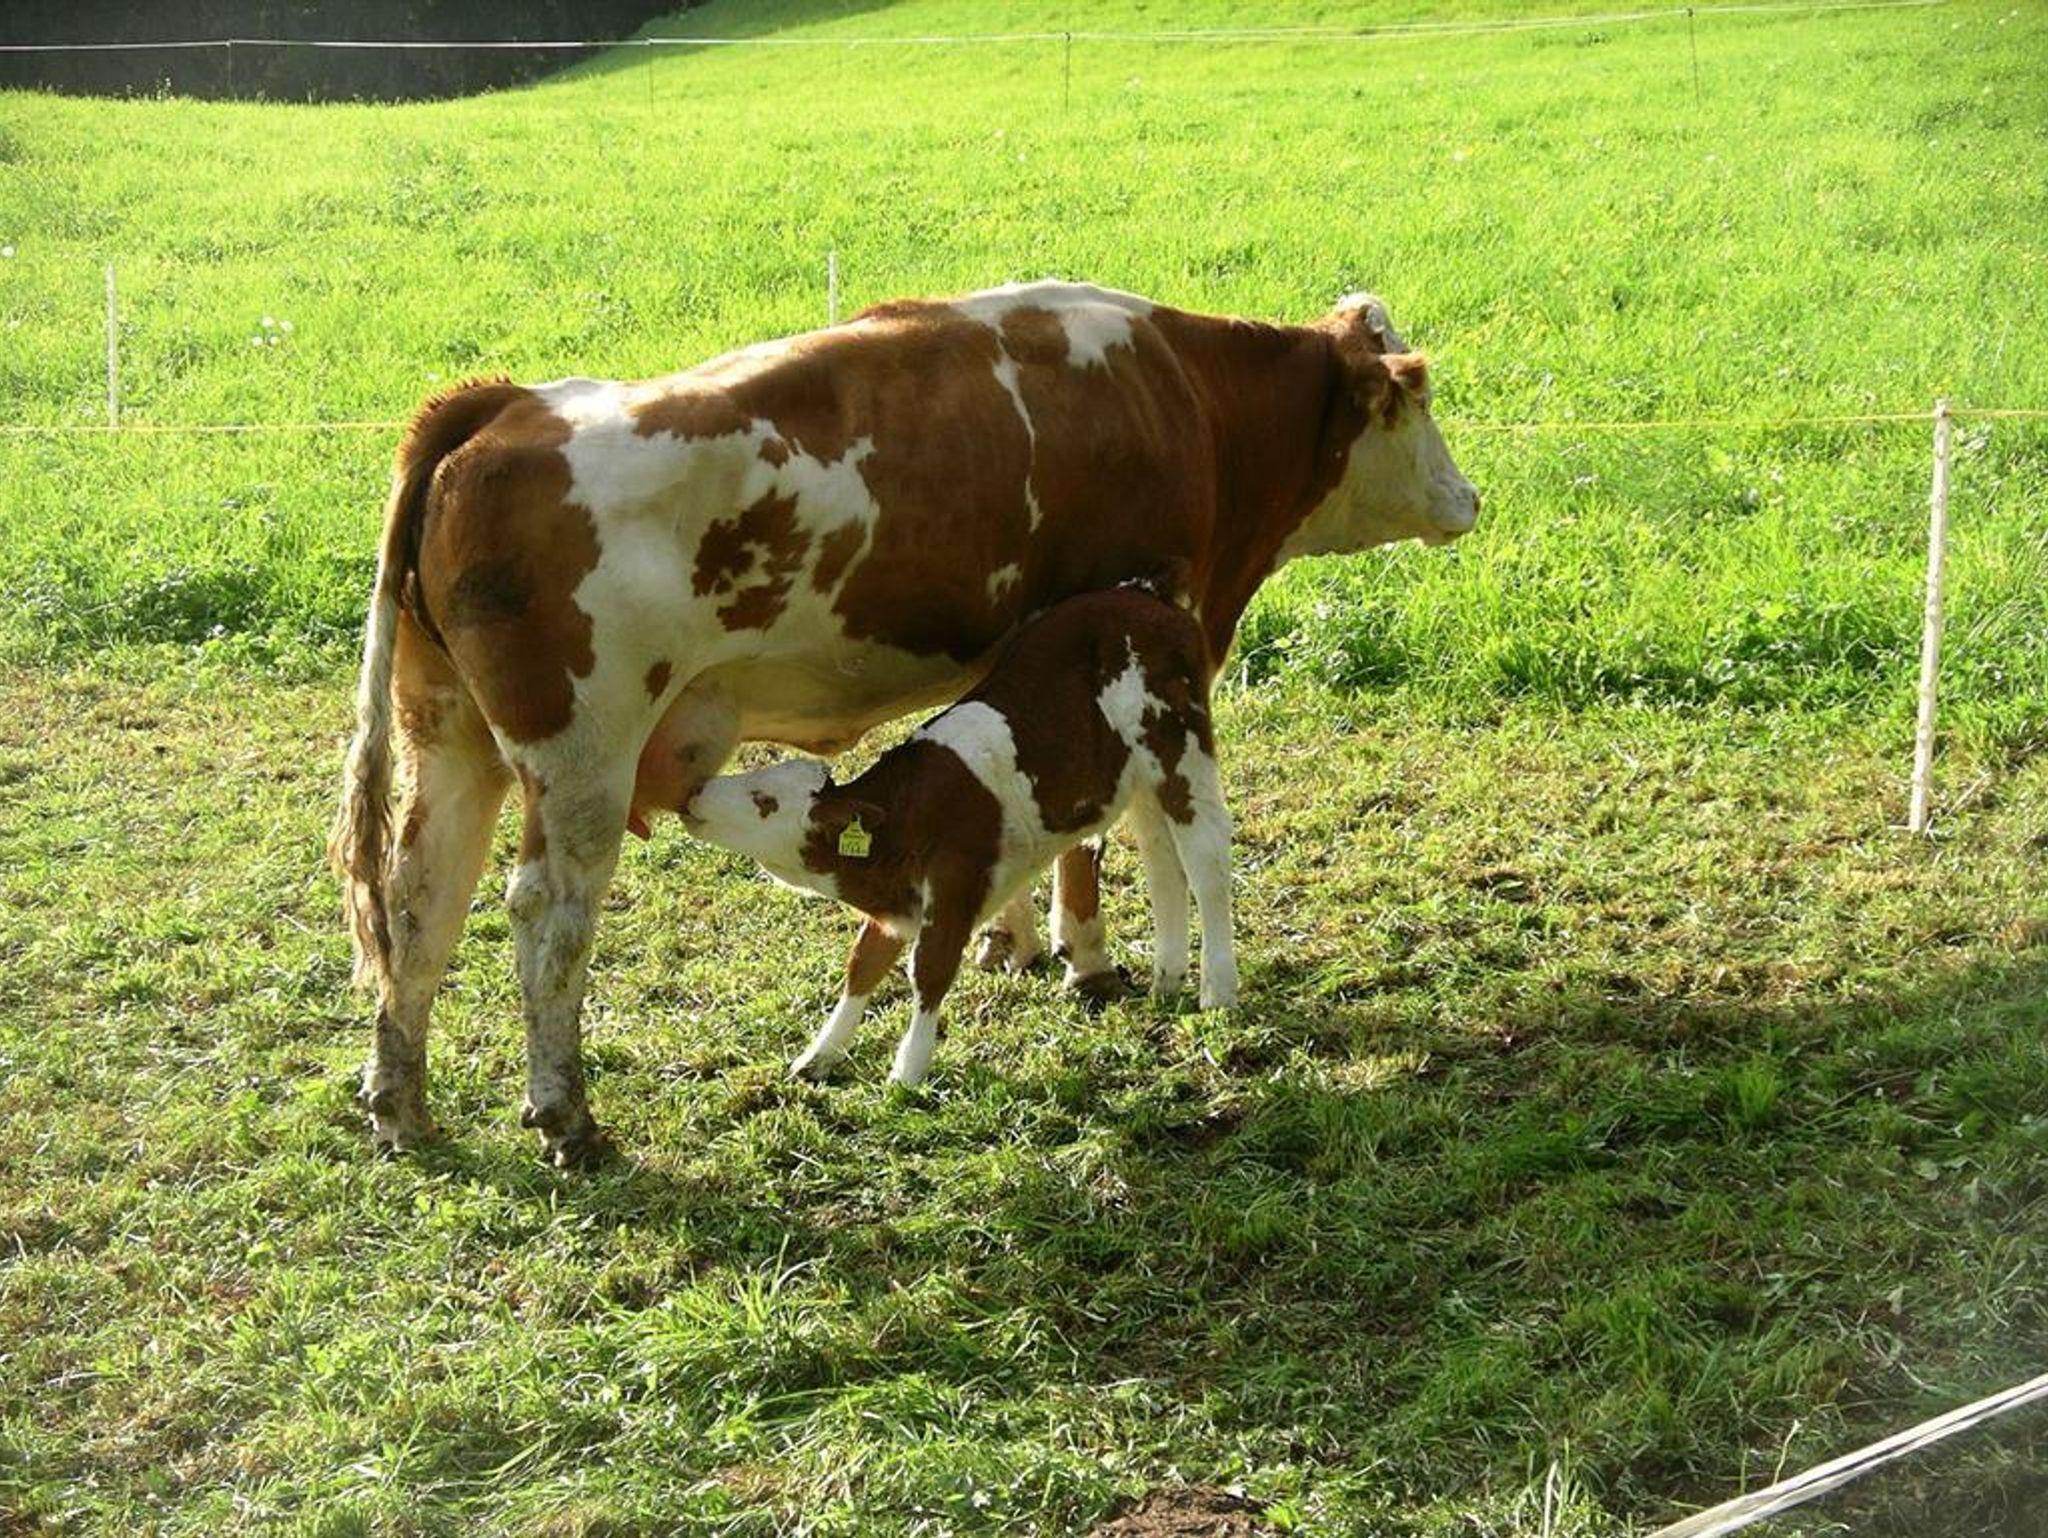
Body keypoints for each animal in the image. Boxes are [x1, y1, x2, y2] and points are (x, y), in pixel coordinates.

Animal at [685, 581, 1236, 1089]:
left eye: (764, 800)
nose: (693, 795)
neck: (900, 823)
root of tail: (1146, 597)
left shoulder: (957, 879)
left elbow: (929, 968)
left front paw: (907, 1071)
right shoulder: (897, 903)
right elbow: (862, 964)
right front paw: (819, 1054)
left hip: (1177, 742)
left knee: (1205, 852)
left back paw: (1217, 989)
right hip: (1139, 773)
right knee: (1163, 855)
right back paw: (1168, 977)